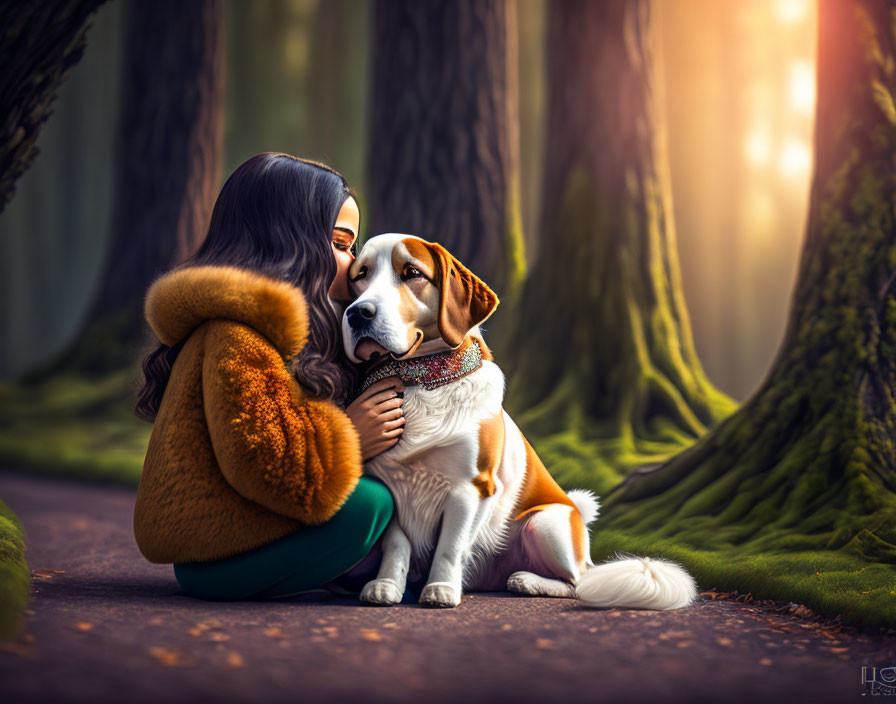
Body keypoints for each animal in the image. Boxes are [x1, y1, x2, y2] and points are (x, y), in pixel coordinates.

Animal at [340, 235, 696, 612]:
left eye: (411, 273)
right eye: (359, 276)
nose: (358, 312)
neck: (420, 379)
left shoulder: (472, 487)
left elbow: (450, 546)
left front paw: (441, 589)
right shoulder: (391, 485)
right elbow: (397, 545)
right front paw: (386, 585)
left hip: (545, 522)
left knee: (579, 583)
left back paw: (527, 581)